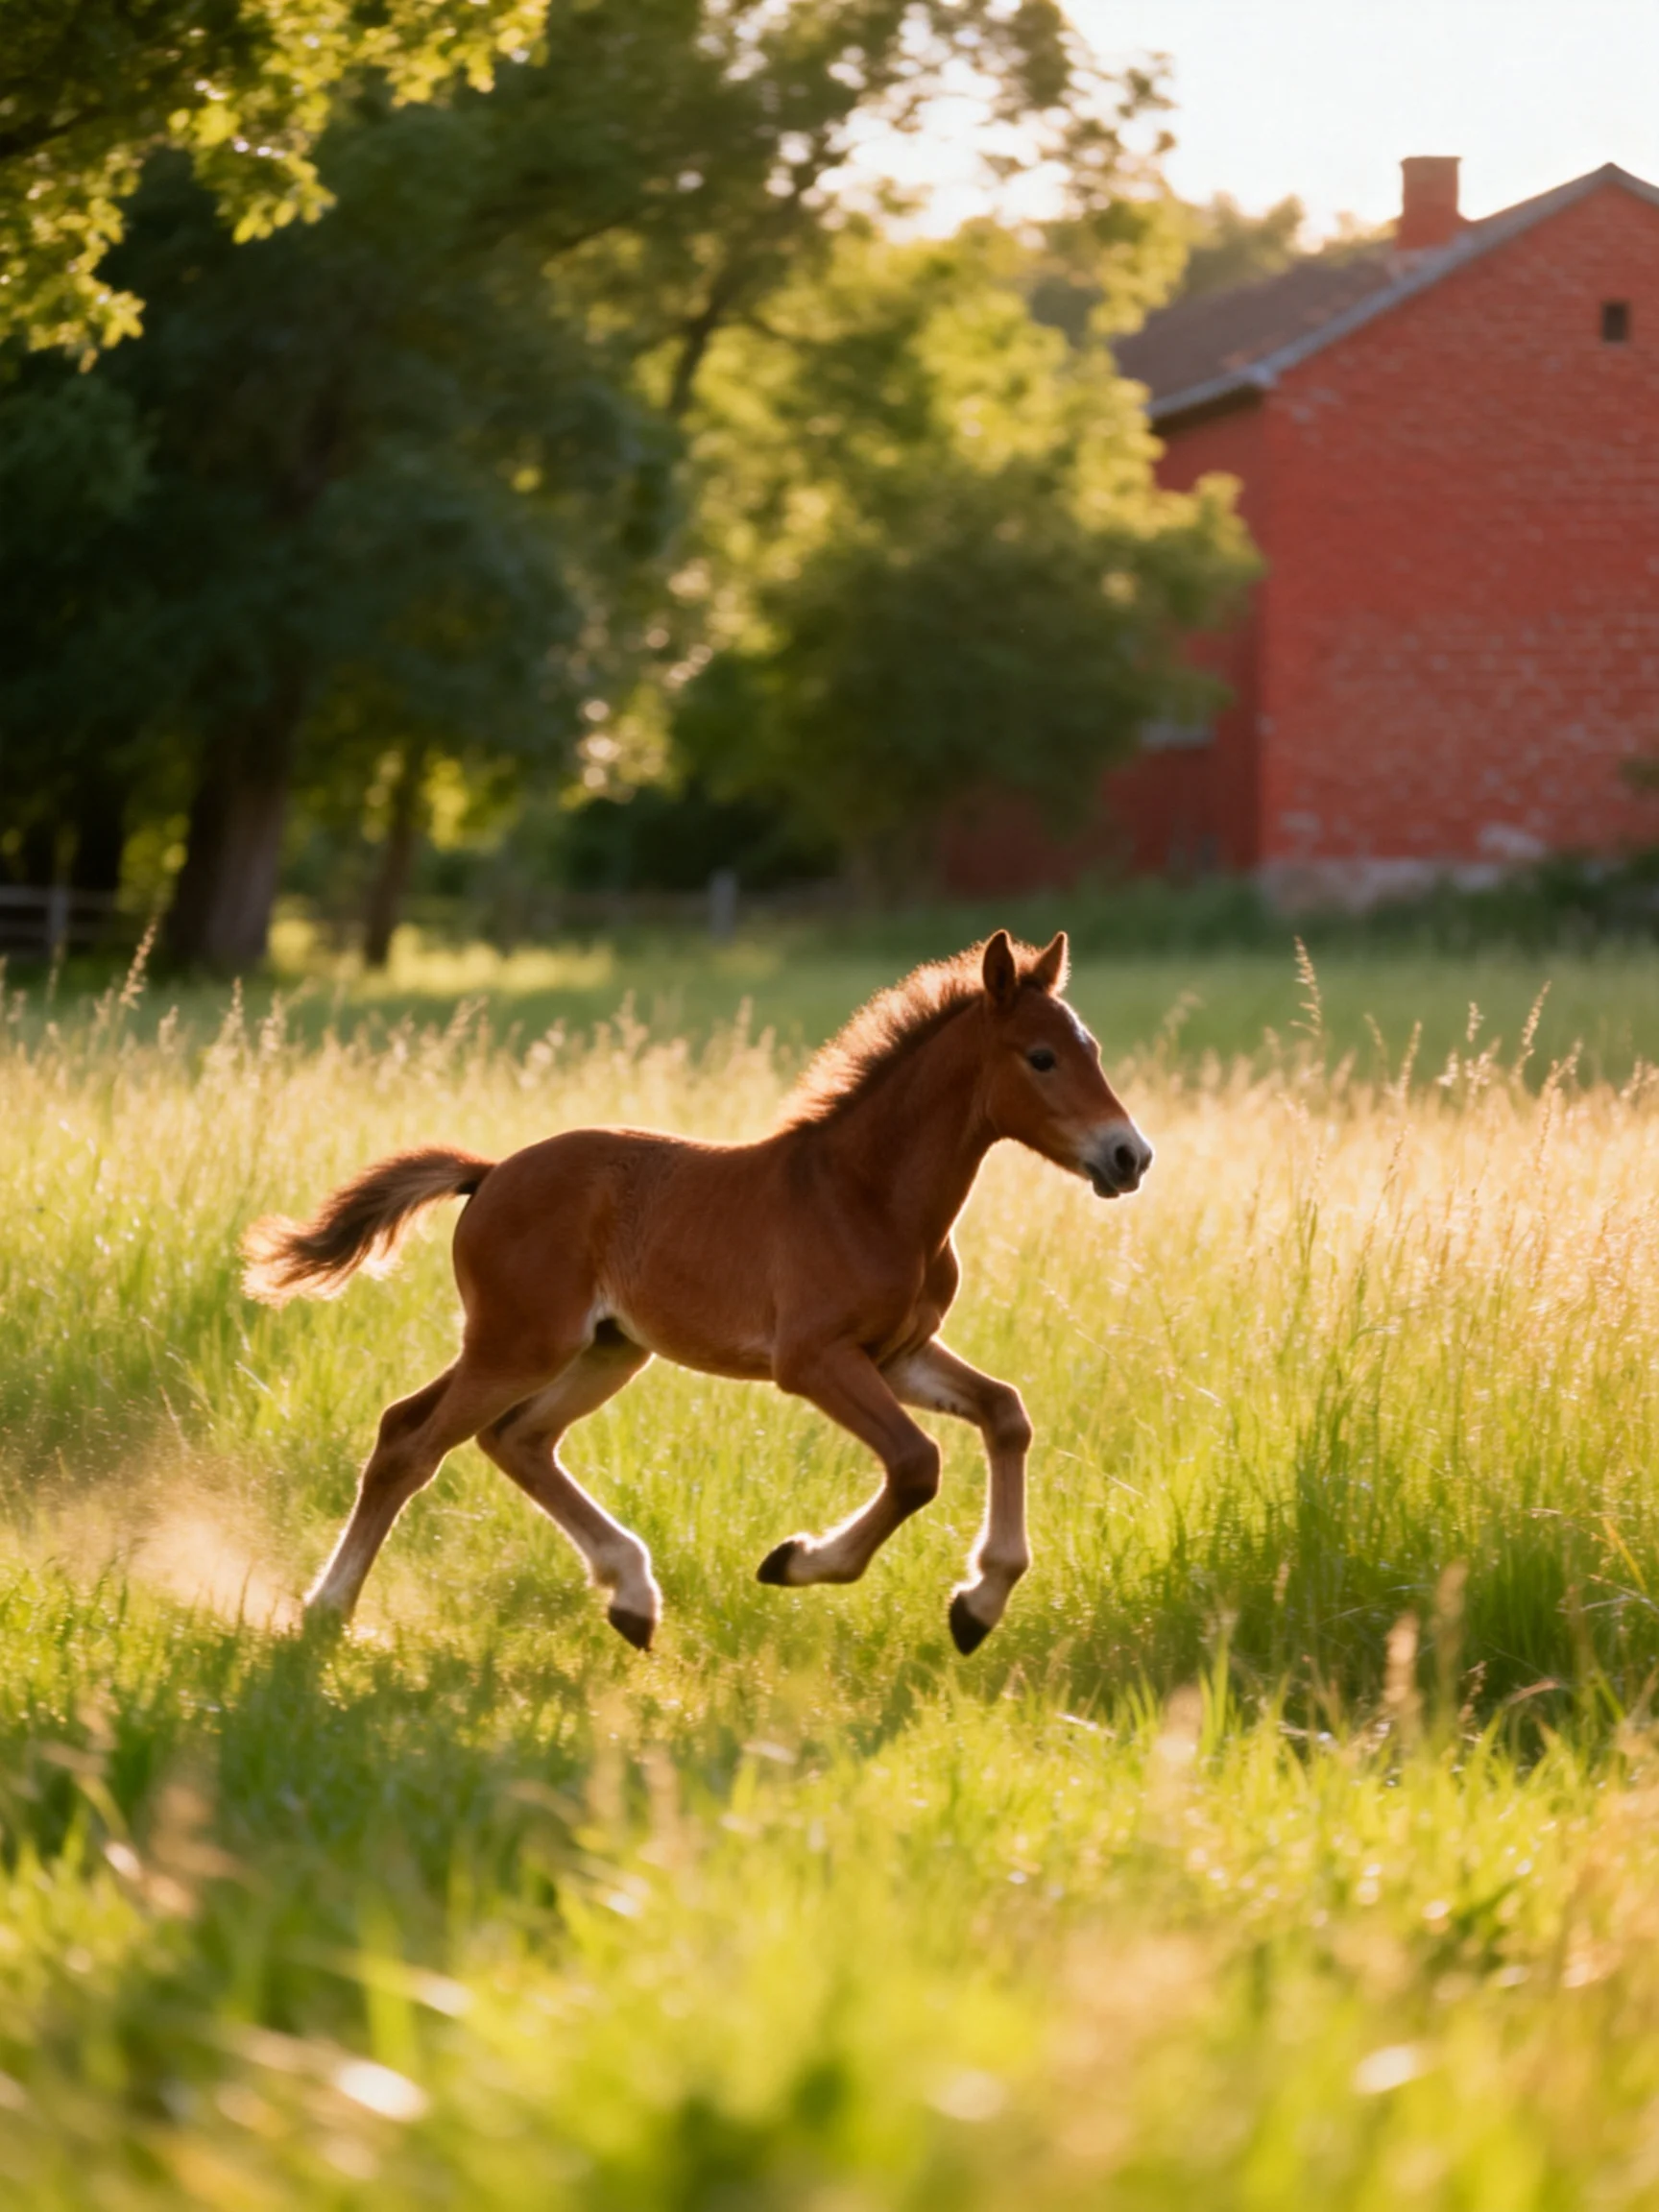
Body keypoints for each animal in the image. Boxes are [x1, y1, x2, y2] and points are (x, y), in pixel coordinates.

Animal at [242, 929, 1152, 1654]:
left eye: (1095, 1049)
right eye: (1041, 1057)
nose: (1128, 1156)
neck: (868, 1194)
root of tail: (490, 1173)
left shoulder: (898, 1354)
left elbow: (1005, 1412)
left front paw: (978, 1604)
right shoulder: (813, 1360)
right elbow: (916, 1463)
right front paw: (799, 1562)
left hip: (599, 1349)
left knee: (507, 1437)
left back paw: (632, 1598)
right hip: (519, 1344)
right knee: (415, 1444)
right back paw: (327, 1610)